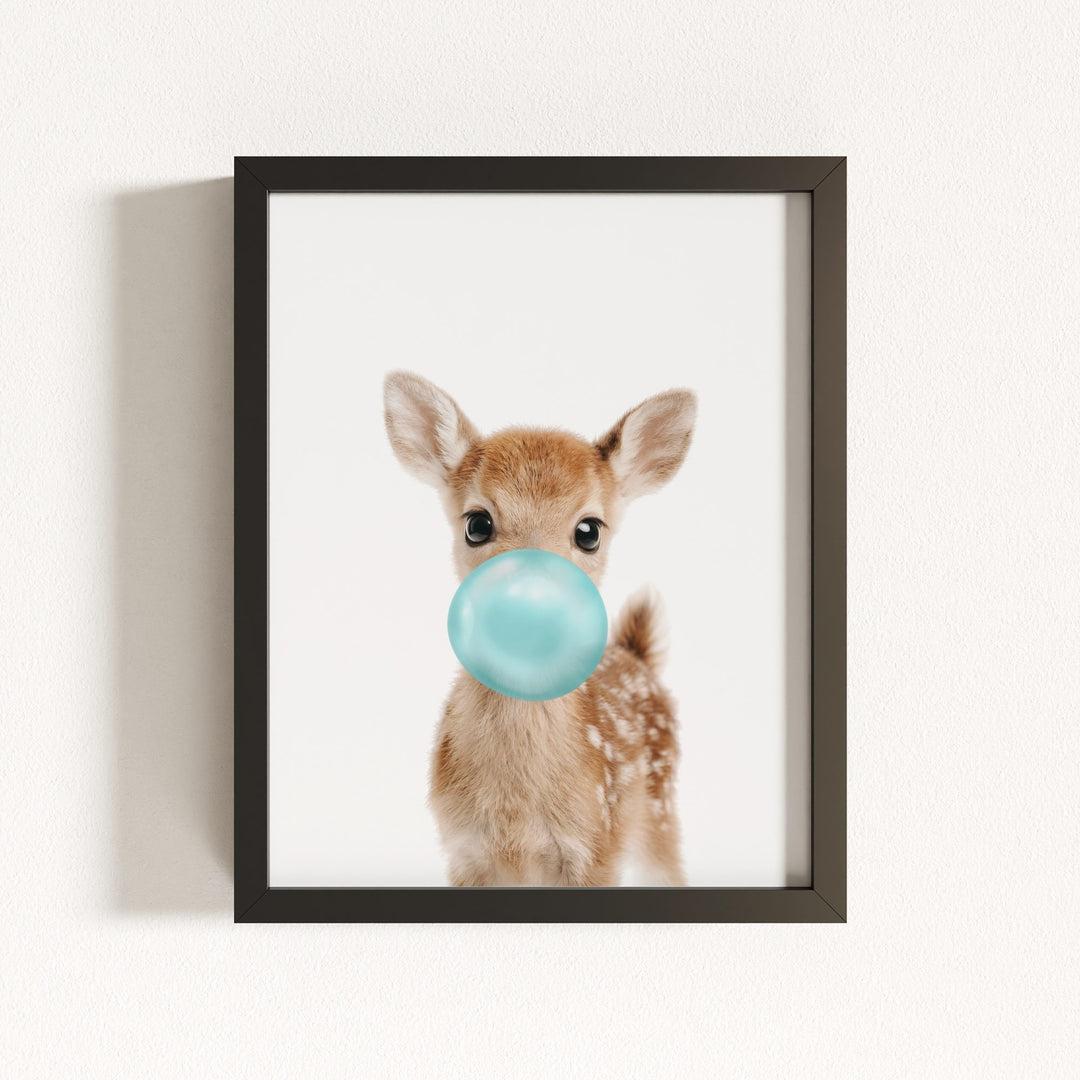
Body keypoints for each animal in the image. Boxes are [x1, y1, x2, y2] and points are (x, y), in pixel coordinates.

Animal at [383, 371, 697, 886]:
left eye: (589, 531)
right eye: (477, 523)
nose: (529, 602)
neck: (516, 818)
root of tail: (636, 654)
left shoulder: (596, 848)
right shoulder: (463, 852)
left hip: (660, 812)